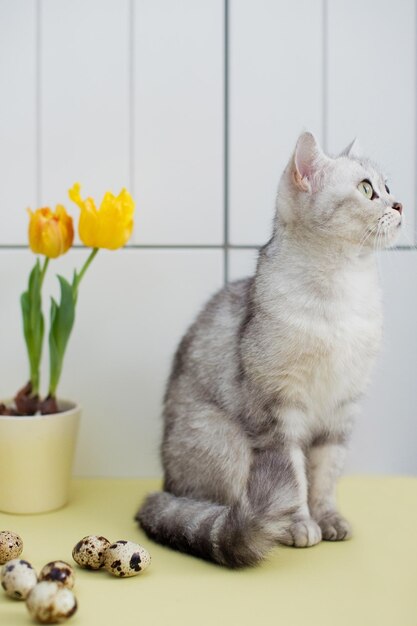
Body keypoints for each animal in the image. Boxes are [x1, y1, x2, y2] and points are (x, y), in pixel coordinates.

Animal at [136, 132, 404, 564]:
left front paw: (328, 518)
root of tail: (166, 485)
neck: (341, 295)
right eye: (367, 189)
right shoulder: (278, 409)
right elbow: (293, 476)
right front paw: (299, 524)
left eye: (388, 186)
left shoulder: (341, 409)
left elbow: (325, 475)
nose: (400, 205)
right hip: (224, 442)